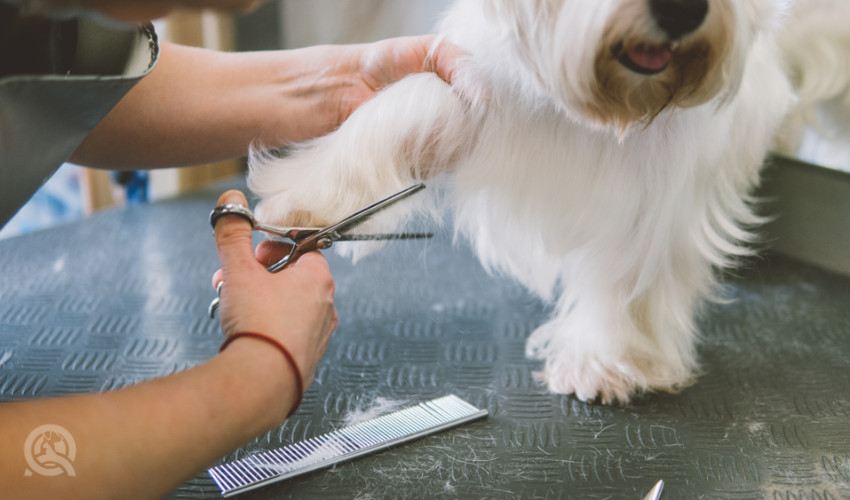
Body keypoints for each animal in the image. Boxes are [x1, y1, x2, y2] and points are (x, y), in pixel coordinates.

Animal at [247, 0, 840, 402]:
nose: (683, 10)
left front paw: (607, 360)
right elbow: (410, 101)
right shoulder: (483, 82)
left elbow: (630, 271)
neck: (611, 110)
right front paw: (307, 200)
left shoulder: (665, 176)